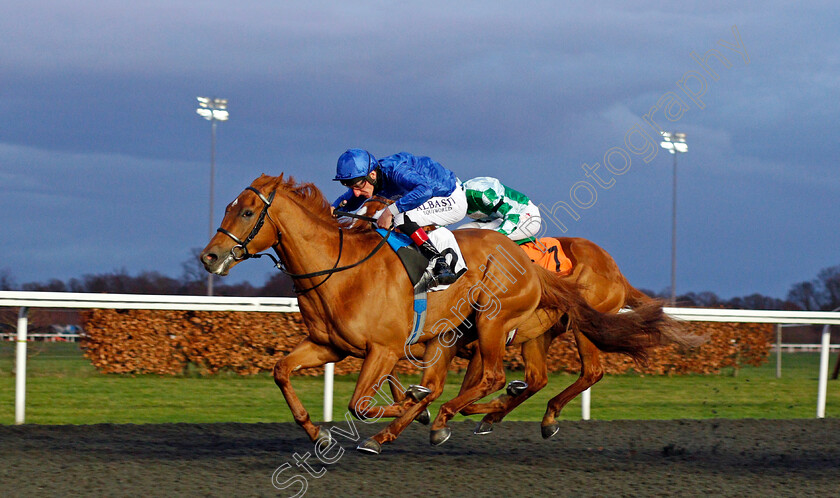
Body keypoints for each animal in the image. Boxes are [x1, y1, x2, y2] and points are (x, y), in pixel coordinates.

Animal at [202, 174, 684, 452]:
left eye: (248, 211)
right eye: (227, 207)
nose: (210, 257)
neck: (342, 269)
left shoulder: (386, 348)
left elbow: (364, 404)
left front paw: (415, 408)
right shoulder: (329, 346)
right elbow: (282, 371)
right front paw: (317, 431)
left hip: (502, 323)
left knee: (536, 374)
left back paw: (466, 416)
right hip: (515, 334)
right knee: (531, 378)